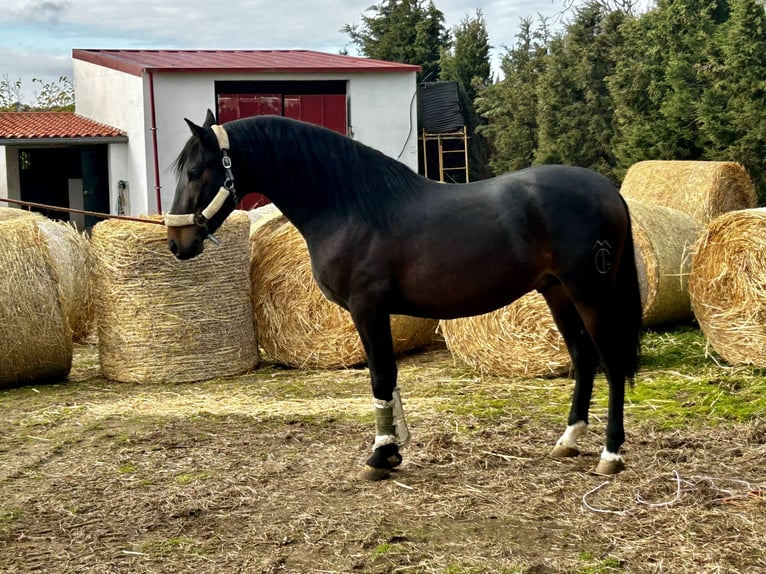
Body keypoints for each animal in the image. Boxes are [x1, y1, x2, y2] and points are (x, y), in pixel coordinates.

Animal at [166, 111, 640, 482]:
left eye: (195, 172)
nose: (177, 242)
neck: (350, 205)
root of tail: (608, 190)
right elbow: (389, 379)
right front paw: (393, 449)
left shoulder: (368, 309)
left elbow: (380, 377)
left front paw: (381, 455)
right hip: (557, 292)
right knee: (583, 357)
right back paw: (568, 440)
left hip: (589, 292)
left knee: (612, 362)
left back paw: (610, 453)